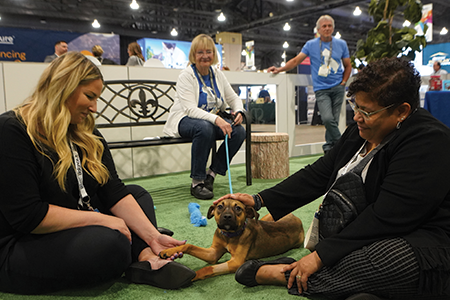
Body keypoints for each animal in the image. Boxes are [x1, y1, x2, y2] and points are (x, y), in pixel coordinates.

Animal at [160, 198, 304, 280]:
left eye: (238, 208)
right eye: (220, 206)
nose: (228, 217)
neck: (229, 235)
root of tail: (298, 219)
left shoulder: (235, 262)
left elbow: (209, 268)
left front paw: (194, 275)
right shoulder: (213, 253)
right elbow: (189, 245)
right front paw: (169, 251)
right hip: (267, 217)